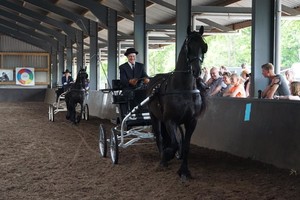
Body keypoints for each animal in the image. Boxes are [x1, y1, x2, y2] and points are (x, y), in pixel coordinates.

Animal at [146, 25, 207, 180]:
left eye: (203, 46)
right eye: (188, 46)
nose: (196, 71)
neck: (183, 89)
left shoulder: (191, 121)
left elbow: (185, 146)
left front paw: (184, 171)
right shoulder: (170, 120)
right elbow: (173, 144)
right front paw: (167, 156)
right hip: (154, 117)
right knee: (160, 137)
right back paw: (163, 159)